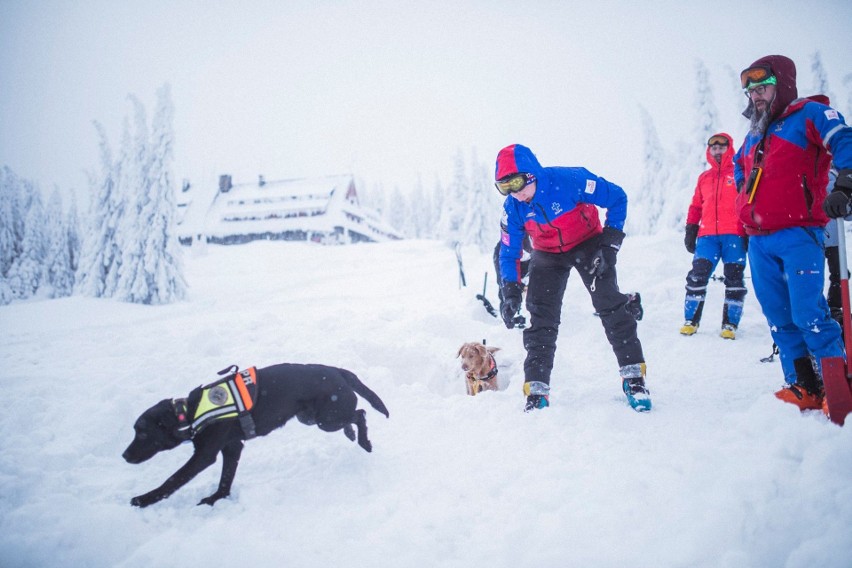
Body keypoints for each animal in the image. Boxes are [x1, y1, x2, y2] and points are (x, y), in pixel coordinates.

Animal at [122, 366, 390, 508]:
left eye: (142, 432)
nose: (124, 455)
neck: (189, 413)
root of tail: (337, 371)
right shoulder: (232, 447)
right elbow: (226, 478)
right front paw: (216, 498)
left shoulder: (205, 455)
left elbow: (172, 480)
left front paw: (144, 499)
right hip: (310, 417)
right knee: (353, 417)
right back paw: (352, 435)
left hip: (326, 419)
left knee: (360, 413)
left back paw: (364, 441)